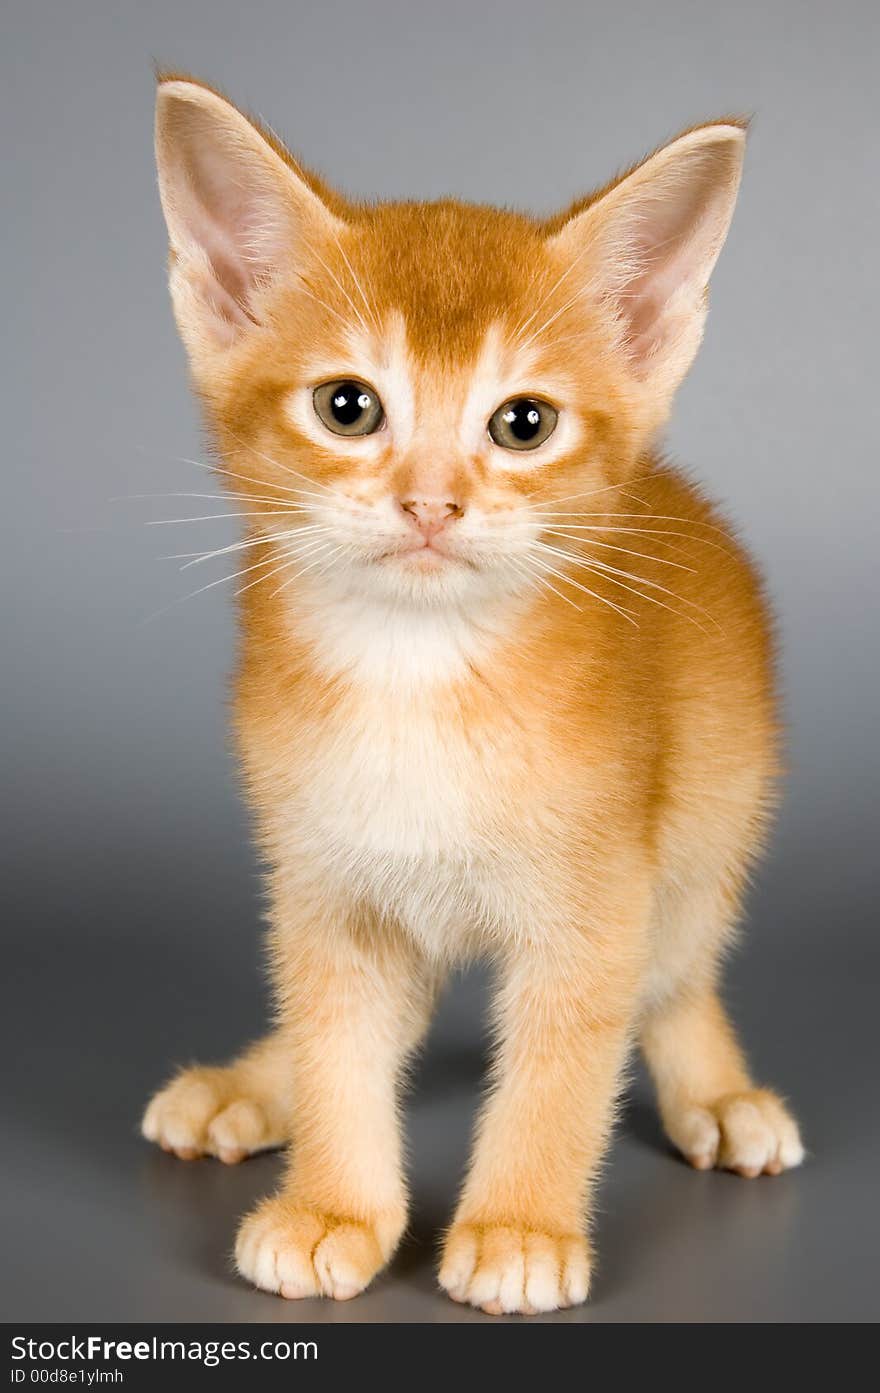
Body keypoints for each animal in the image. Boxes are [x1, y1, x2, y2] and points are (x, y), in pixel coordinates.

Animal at [142, 79, 802, 1314]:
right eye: (347, 407)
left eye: (523, 422)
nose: (431, 502)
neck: (419, 677)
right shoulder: (326, 885)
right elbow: (340, 1040)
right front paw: (336, 1207)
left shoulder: (597, 903)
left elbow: (561, 1068)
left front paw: (519, 1228)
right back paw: (249, 1086)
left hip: (708, 829)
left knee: (674, 978)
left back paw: (718, 1092)